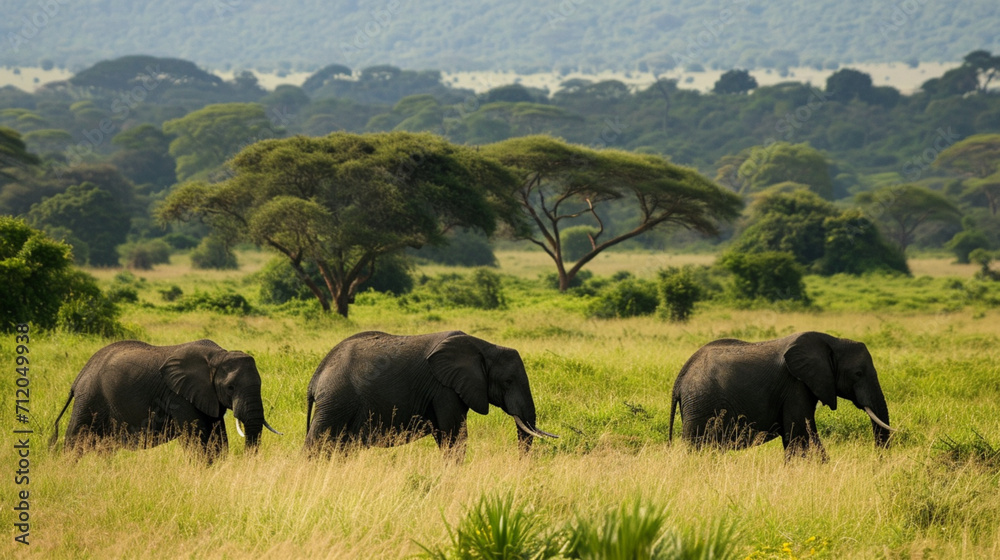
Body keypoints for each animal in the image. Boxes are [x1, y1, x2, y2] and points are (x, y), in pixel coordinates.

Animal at [49, 340, 280, 458]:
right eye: (230, 388)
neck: (218, 356)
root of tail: (79, 377)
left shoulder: (206, 395)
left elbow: (217, 436)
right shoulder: (179, 395)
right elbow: (196, 435)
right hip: (89, 399)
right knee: (76, 439)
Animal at [304, 328, 556, 460]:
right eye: (508, 381)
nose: (522, 465)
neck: (485, 347)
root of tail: (315, 377)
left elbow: (445, 434)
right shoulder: (444, 388)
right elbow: (454, 435)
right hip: (336, 400)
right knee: (317, 441)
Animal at [668, 330, 896, 458]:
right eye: (858, 373)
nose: (877, 464)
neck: (834, 341)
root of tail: (679, 380)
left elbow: (797, 435)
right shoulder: (795, 385)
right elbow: (801, 434)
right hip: (701, 405)